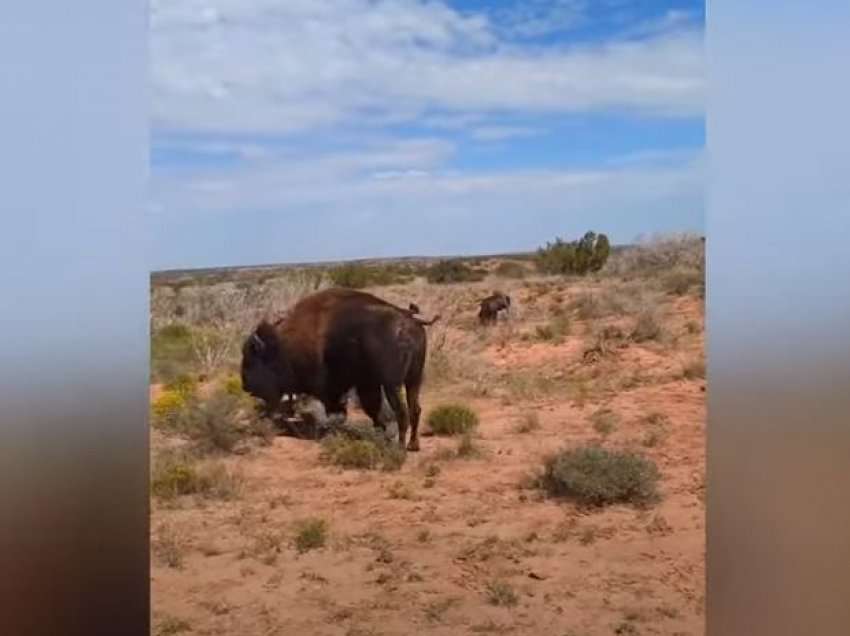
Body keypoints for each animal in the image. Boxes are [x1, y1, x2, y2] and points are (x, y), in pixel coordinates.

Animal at [238, 288, 438, 452]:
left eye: (250, 362)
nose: (245, 385)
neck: (283, 347)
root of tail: (409, 319)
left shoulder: (333, 388)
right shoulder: (365, 384)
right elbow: (371, 410)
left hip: (392, 384)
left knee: (402, 412)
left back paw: (400, 447)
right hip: (414, 379)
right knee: (415, 409)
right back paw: (413, 445)